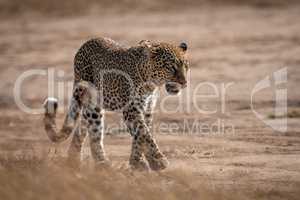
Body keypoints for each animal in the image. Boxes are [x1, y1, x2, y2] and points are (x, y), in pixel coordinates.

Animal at [43, 37, 189, 170]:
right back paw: (102, 163)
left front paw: (138, 162)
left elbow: (141, 135)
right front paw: (158, 160)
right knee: (95, 133)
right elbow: (144, 134)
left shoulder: (147, 109)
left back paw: (73, 159)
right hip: (93, 103)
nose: (184, 83)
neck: (150, 83)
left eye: (186, 66)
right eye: (171, 67)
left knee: (82, 125)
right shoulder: (131, 110)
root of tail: (84, 45)